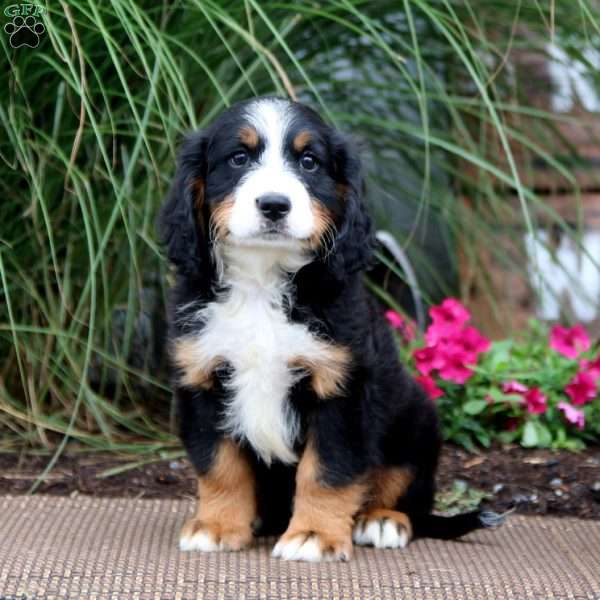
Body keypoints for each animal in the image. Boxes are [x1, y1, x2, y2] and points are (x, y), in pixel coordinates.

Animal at [158, 96, 502, 560]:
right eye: (238, 158)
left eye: (309, 162)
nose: (274, 205)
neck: (263, 281)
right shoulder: (203, 379)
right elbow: (220, 465)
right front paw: (217, 526)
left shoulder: (342, 387)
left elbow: (327, 469)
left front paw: (314, 535)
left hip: (415, 420)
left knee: (407, 491)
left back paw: (382, 520)